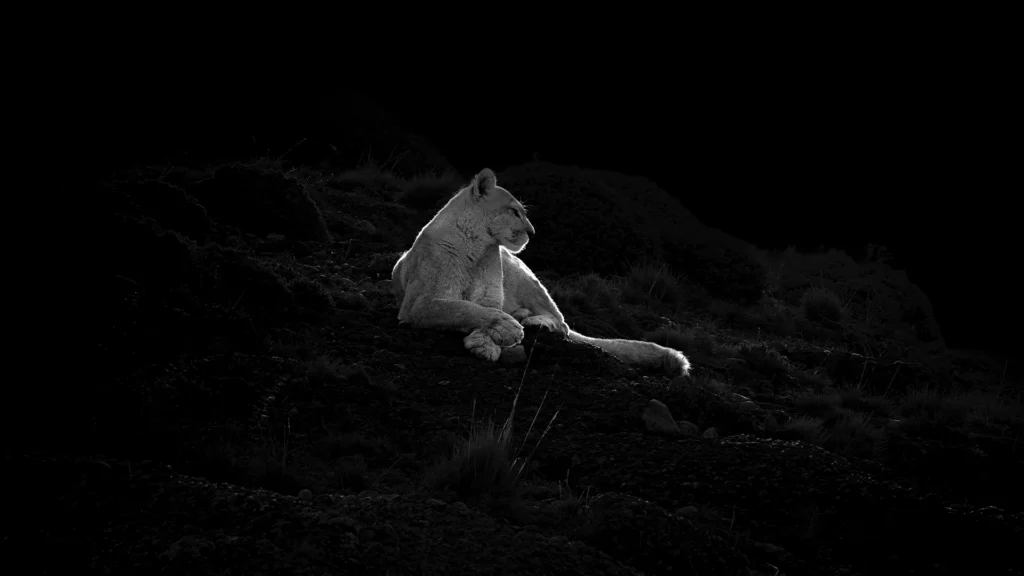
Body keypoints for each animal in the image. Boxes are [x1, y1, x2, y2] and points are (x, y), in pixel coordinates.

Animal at [391, 168, 691, 376]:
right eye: (515, 212)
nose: (533, 233)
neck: (476, 247)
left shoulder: (489, 296)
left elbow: (481, 309)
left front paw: (487, 342)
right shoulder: (418, 304)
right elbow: (462, 309)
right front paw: (502, 331)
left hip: (522, 273)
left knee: (562, 323)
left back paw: (535, 322)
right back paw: (521, 318)